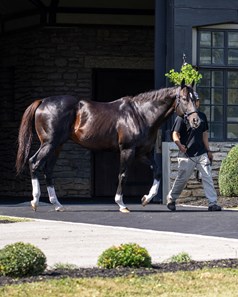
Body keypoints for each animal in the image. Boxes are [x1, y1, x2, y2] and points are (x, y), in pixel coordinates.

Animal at [15, 80, 200, 212]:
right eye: (184, 99)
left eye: (196, 99)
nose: (195, 121)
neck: (140, 114)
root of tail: (42, 102)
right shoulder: (127, 150)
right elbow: (123, 175)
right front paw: (121, 204)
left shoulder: (142, 153)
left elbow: (158, 172)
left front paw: (146, 199)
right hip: (49, 143)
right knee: (34, 163)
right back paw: (35, 201)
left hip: (57, 146)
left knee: (48, 170)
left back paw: (57, 204)